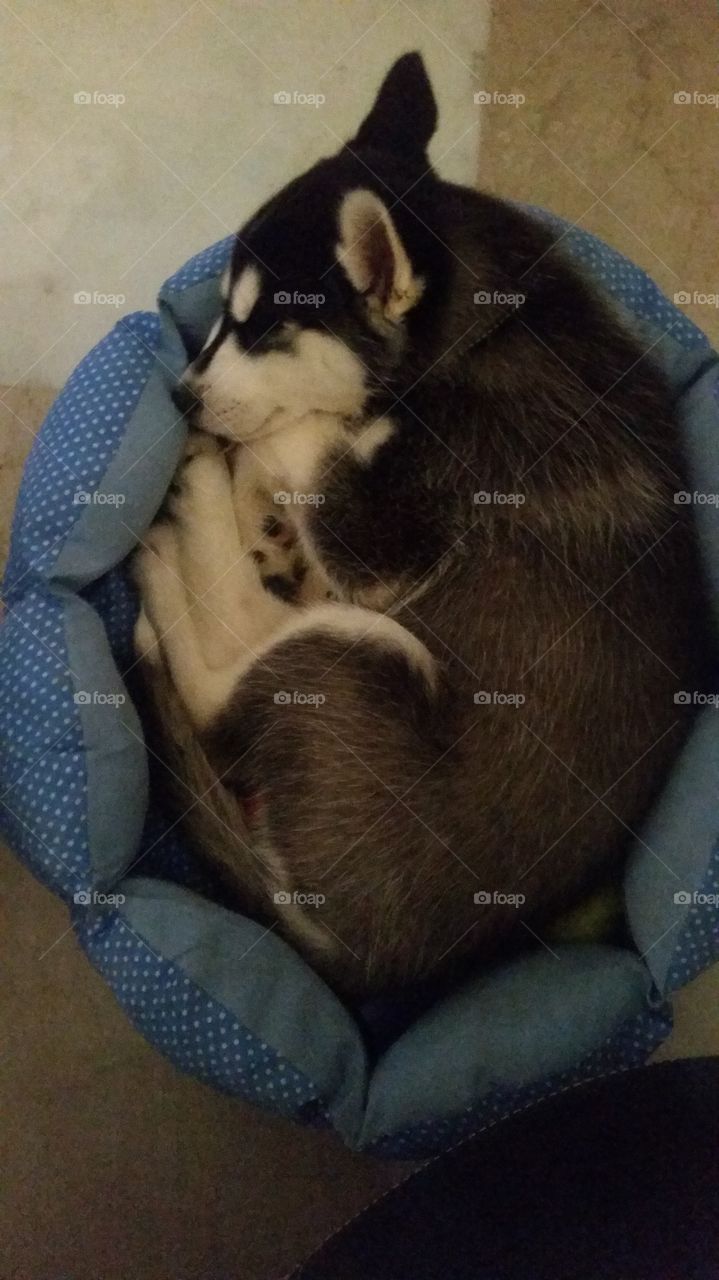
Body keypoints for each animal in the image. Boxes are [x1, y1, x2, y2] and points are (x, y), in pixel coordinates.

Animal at [131, 52, 701, 998]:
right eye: (223, 318)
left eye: (266, 328)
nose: (179, 399)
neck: (484, 328)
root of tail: (384, 962)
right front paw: (262, 505)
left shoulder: (387, 541)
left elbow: (306, 439)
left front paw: (241, 466)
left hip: (360, 650)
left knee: (221, 685)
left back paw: (174, 555)